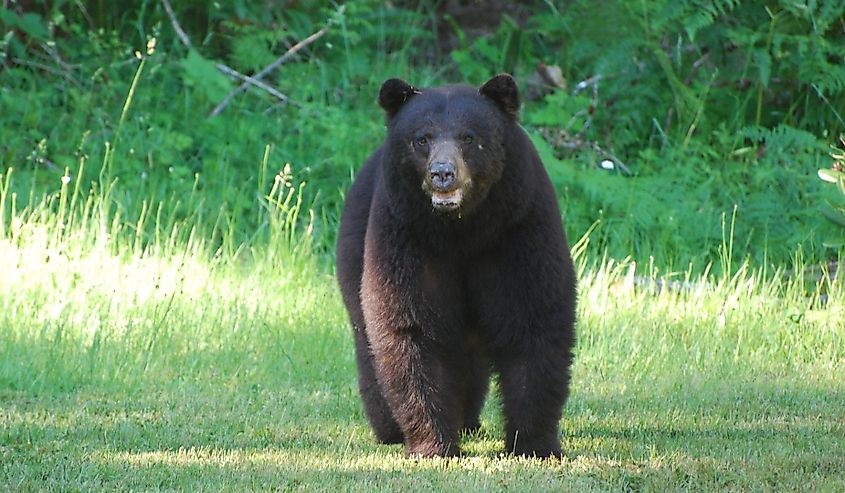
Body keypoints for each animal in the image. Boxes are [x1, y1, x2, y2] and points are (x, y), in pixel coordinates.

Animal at [336, 74, 577, 458]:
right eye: (421, 138)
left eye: (469, 137)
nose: (442, 173)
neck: (462, 230)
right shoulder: (407, 234)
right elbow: (412, 327)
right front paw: (433, 445)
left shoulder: (518, 226)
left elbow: (532, 318)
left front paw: (533, 443)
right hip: (357, 248)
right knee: (368, 341)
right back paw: (391, 428)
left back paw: (467, 419)